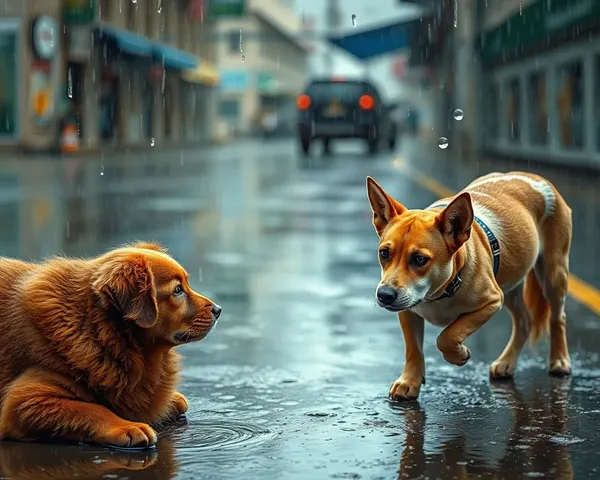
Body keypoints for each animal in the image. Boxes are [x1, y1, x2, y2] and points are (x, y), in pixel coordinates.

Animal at [0, 242, 218, 448]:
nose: (218, 310)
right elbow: (90, 408)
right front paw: (127, 426)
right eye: (177, 290)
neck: (98, 331)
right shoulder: (25, 400)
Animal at [366, 172, 572, 402]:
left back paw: (559, 361)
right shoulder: (408, 311)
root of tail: (534, 177)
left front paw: (459, 355)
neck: (438, 292)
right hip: (510, 284)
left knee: (557, 317)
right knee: (524, 322)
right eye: (384, 253)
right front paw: (409, 381)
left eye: (419, 259)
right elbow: (413, 349)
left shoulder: (492, 301)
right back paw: (507, 362)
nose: (384, 295)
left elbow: (448, 336)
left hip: (552, 274)